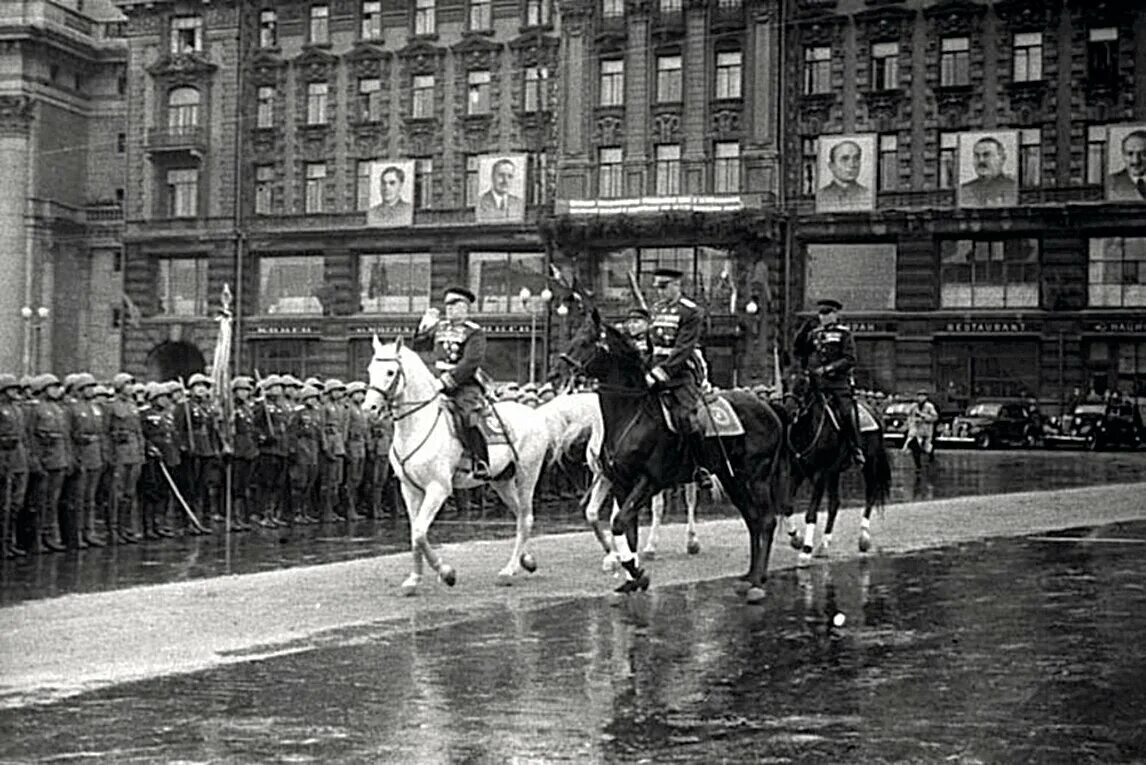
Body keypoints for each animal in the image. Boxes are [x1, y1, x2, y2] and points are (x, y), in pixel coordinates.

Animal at [362, 336, 586, 595]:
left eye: (390, 372)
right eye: (370, 370)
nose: (369, 410)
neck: (417, 425)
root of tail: (535, 414)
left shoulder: (438, 489)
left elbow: (419, 532)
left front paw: (446, 572)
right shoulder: (409, 489)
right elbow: (415, 533)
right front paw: (414, 579)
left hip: (527, 475)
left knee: (526, 518)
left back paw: (509, 570)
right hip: (502, 481)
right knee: (520, 515)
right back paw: (526, 560)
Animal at [561, 309, 788, 604]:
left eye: (588, 340)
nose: (563, 366)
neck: (631, 415)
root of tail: (768, 406)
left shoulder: (649, 481)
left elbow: (620, 523)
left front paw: (637, 571)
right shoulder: (621, 483)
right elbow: (626, 529)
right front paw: (631, 577)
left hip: (756, 477)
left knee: (767, 520)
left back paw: (757, 582)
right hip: (732, 478)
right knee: (752, 519)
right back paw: (748, 576)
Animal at [779, 366, 893, 558]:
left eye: (803, 383)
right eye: (784, 381)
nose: (788, 412)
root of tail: (872, 410)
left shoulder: (820, 474)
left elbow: (811, 513)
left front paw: (806, 549)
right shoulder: (797, 471)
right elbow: (787, 506)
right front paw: (797, 539)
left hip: (869, 464)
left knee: (871, 493)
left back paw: (863, 537)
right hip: (834, 472)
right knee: (835, 504)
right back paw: (824, 544)